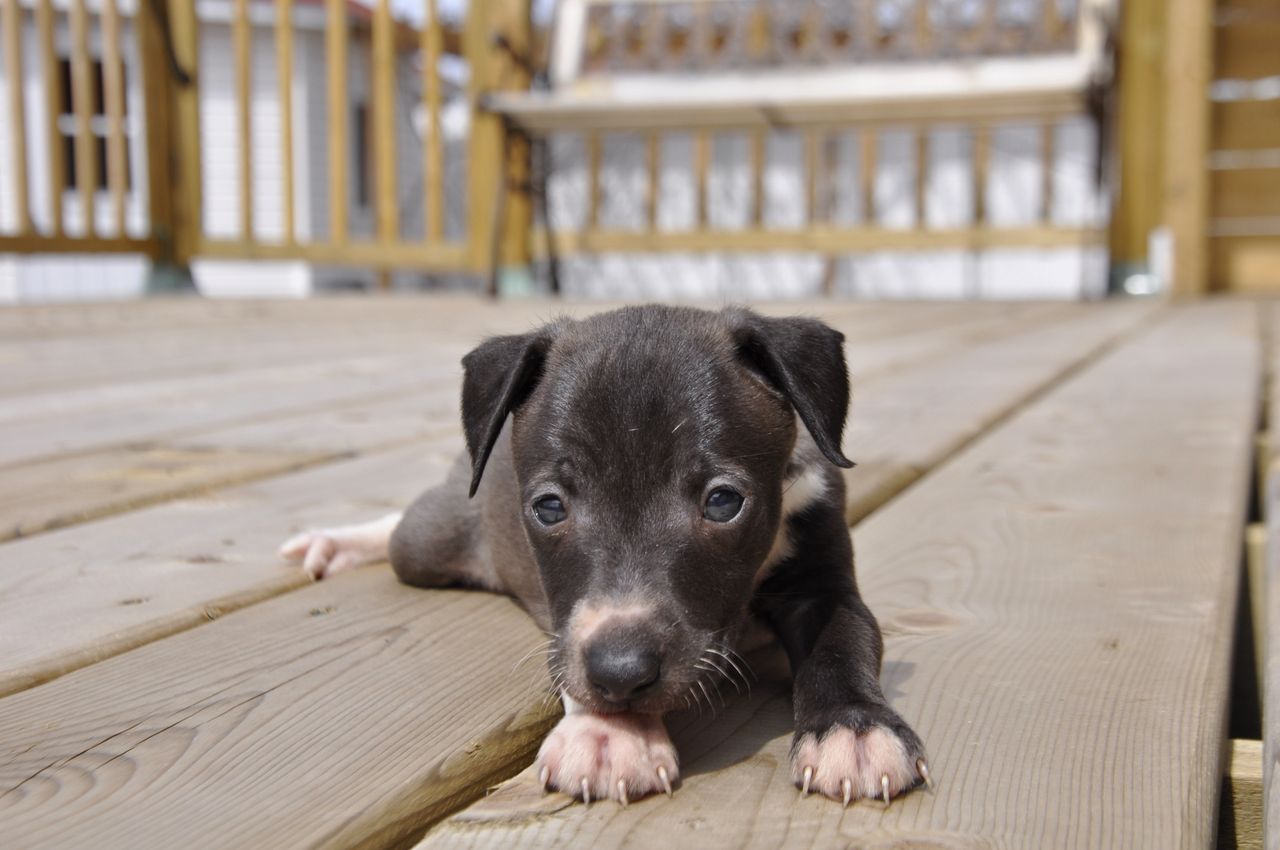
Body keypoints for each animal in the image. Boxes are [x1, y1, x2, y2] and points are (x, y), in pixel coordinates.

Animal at [280, 303, 926, 803]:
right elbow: (568, 651)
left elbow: (842, 641)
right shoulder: (569, 617)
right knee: (403, 527)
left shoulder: (823, 583)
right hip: (427, 545)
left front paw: (855, 730)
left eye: (723, 502)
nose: (621, 671)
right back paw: (336, 543)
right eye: (549, 507)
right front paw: (609, 734)